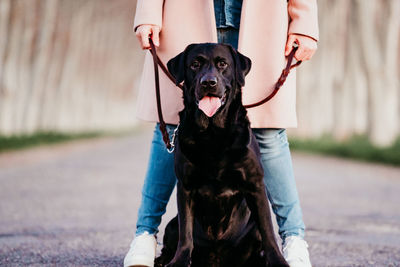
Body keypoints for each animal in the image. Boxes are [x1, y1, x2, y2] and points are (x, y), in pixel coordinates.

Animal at [155, 44, 290, 267]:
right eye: (195, 64)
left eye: (223, 64)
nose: (208, 82)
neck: (212, 133)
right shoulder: (185, 186)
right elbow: (186, 233)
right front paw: (179, 261)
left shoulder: (255, 185)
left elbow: (268, 231)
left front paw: (278, 261)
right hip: (172, 225)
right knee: (170, 242)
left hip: (251, 231)